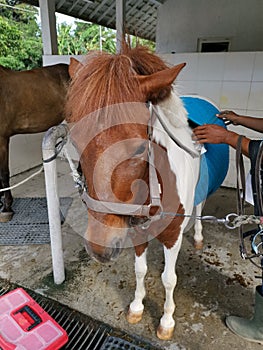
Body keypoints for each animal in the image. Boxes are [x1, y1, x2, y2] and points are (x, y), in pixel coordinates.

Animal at [66, 46, 204, 340]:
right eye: (75, 143)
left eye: (140, 148)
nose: (100, 249)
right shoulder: (137, 231)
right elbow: (140, 270)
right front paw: (136, 307)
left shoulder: (172, 236)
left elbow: (168, 279)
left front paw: (166, 322)